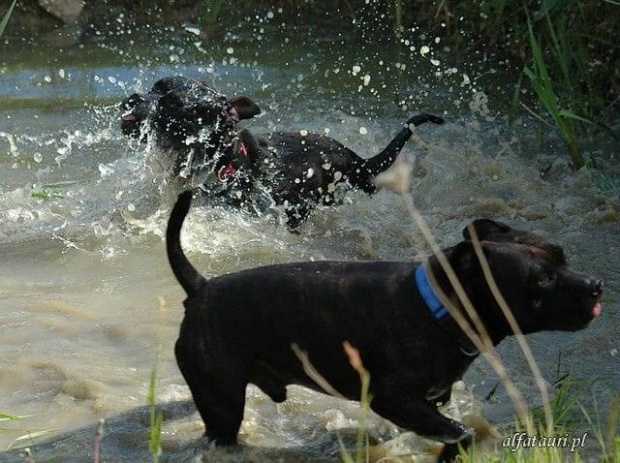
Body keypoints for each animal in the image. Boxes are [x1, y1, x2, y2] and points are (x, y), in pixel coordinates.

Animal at [167, 191, 604, 460]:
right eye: (542, 279)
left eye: (562, 255)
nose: (596, 284)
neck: (438, 308)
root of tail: (202, 287)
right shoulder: (395, 401)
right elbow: (460, 432)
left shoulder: (427, 403)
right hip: (223, 404)